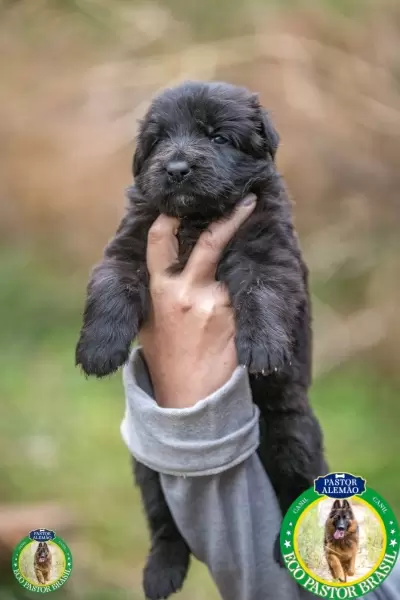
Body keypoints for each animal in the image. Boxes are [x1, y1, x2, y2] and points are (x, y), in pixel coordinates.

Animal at [76, 81, 326, 600]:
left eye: (217, 137)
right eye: (158, 140)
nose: (176, 168)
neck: (197, 220)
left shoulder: (268, 250)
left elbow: (262, 289)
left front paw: (264, 348)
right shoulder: (129, 242)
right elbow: (111, 284)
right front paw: (99, 349)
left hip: (293, 435)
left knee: (295, 490)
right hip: (148, 471)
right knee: (166, 526)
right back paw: (160, 574)